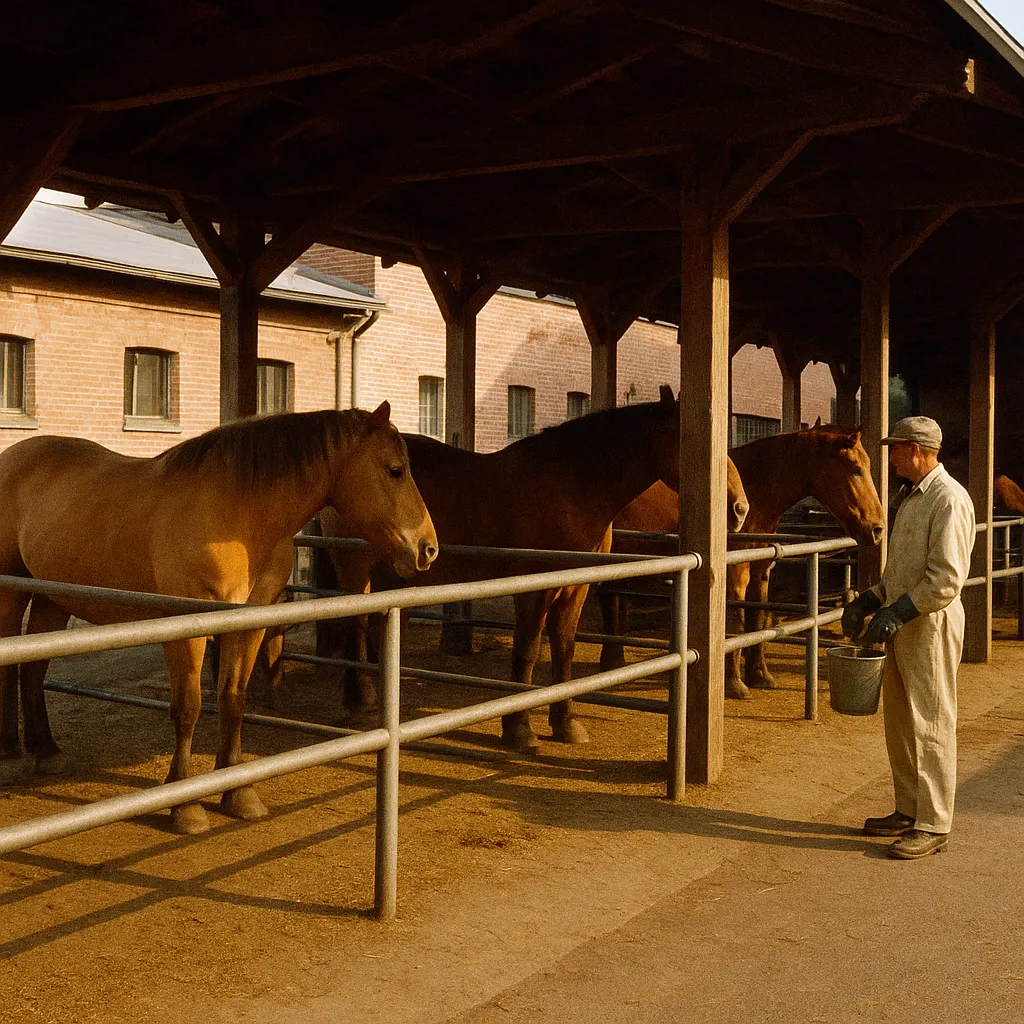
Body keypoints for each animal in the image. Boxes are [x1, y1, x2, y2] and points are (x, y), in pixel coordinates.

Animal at [0, 403, 437, 834]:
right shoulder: (186, 627)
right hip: (13, 592)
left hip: (53, 597)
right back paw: (11, 757)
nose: (427, 548)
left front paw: (237, 792)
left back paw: (46, 751)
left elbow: (233, 700)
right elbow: (188, 707)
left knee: (33, 669)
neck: (236, 516)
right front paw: (185, 805)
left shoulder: (248, 624)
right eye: (395, 469)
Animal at [322, 385, 717, 752]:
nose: (725, 500)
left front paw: (566, 724)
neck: (573, 486)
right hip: (356, 568)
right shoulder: (534, 588)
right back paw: (360, 702)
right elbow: (527, 652)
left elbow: (564, 650)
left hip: (394, 574)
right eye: (684, 438)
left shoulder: (575, 589)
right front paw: (519, 730)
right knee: (355, 626)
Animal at [597, 420, 885, 698]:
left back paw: (614, 662)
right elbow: (735, 624)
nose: (877, 529)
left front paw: (759, 674)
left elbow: (757, 618)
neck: (753, 490)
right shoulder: (735, 571)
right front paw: (734, 683)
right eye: (856, 469)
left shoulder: (761, 569)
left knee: (613, 598)